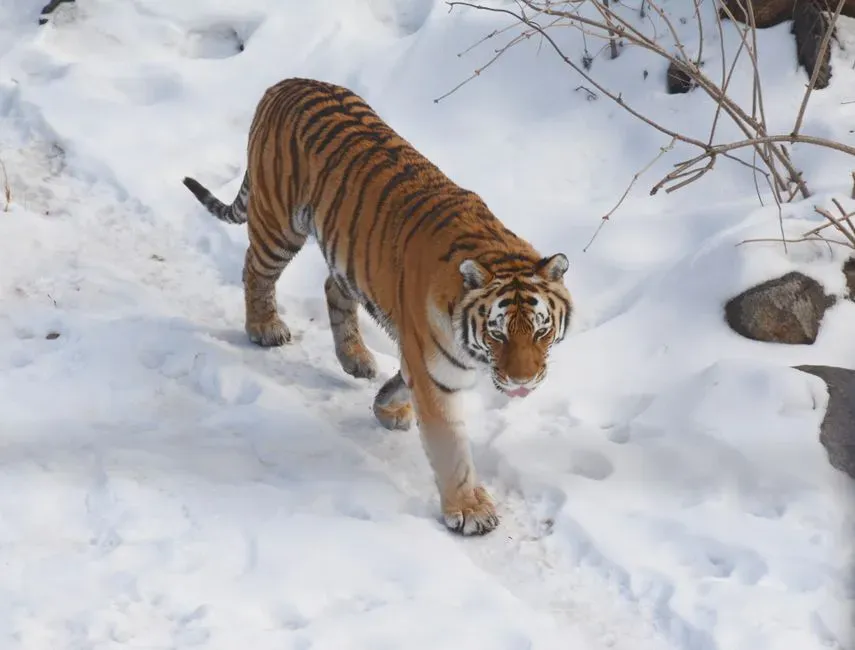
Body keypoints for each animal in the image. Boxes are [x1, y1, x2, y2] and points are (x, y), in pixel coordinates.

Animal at [182, 77, 573, 536]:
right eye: (497, 333)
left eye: (541, 330)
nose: (522, 382)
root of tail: (286, 82)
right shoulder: (434, 370)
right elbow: (452, 450)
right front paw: (470, 510)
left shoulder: (422, 354)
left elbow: (402, 380)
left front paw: (388, 406)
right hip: (279, 225)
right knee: (254, 270)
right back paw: (264, 326)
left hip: (345, 258)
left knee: (332, 287)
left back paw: (355, 358)